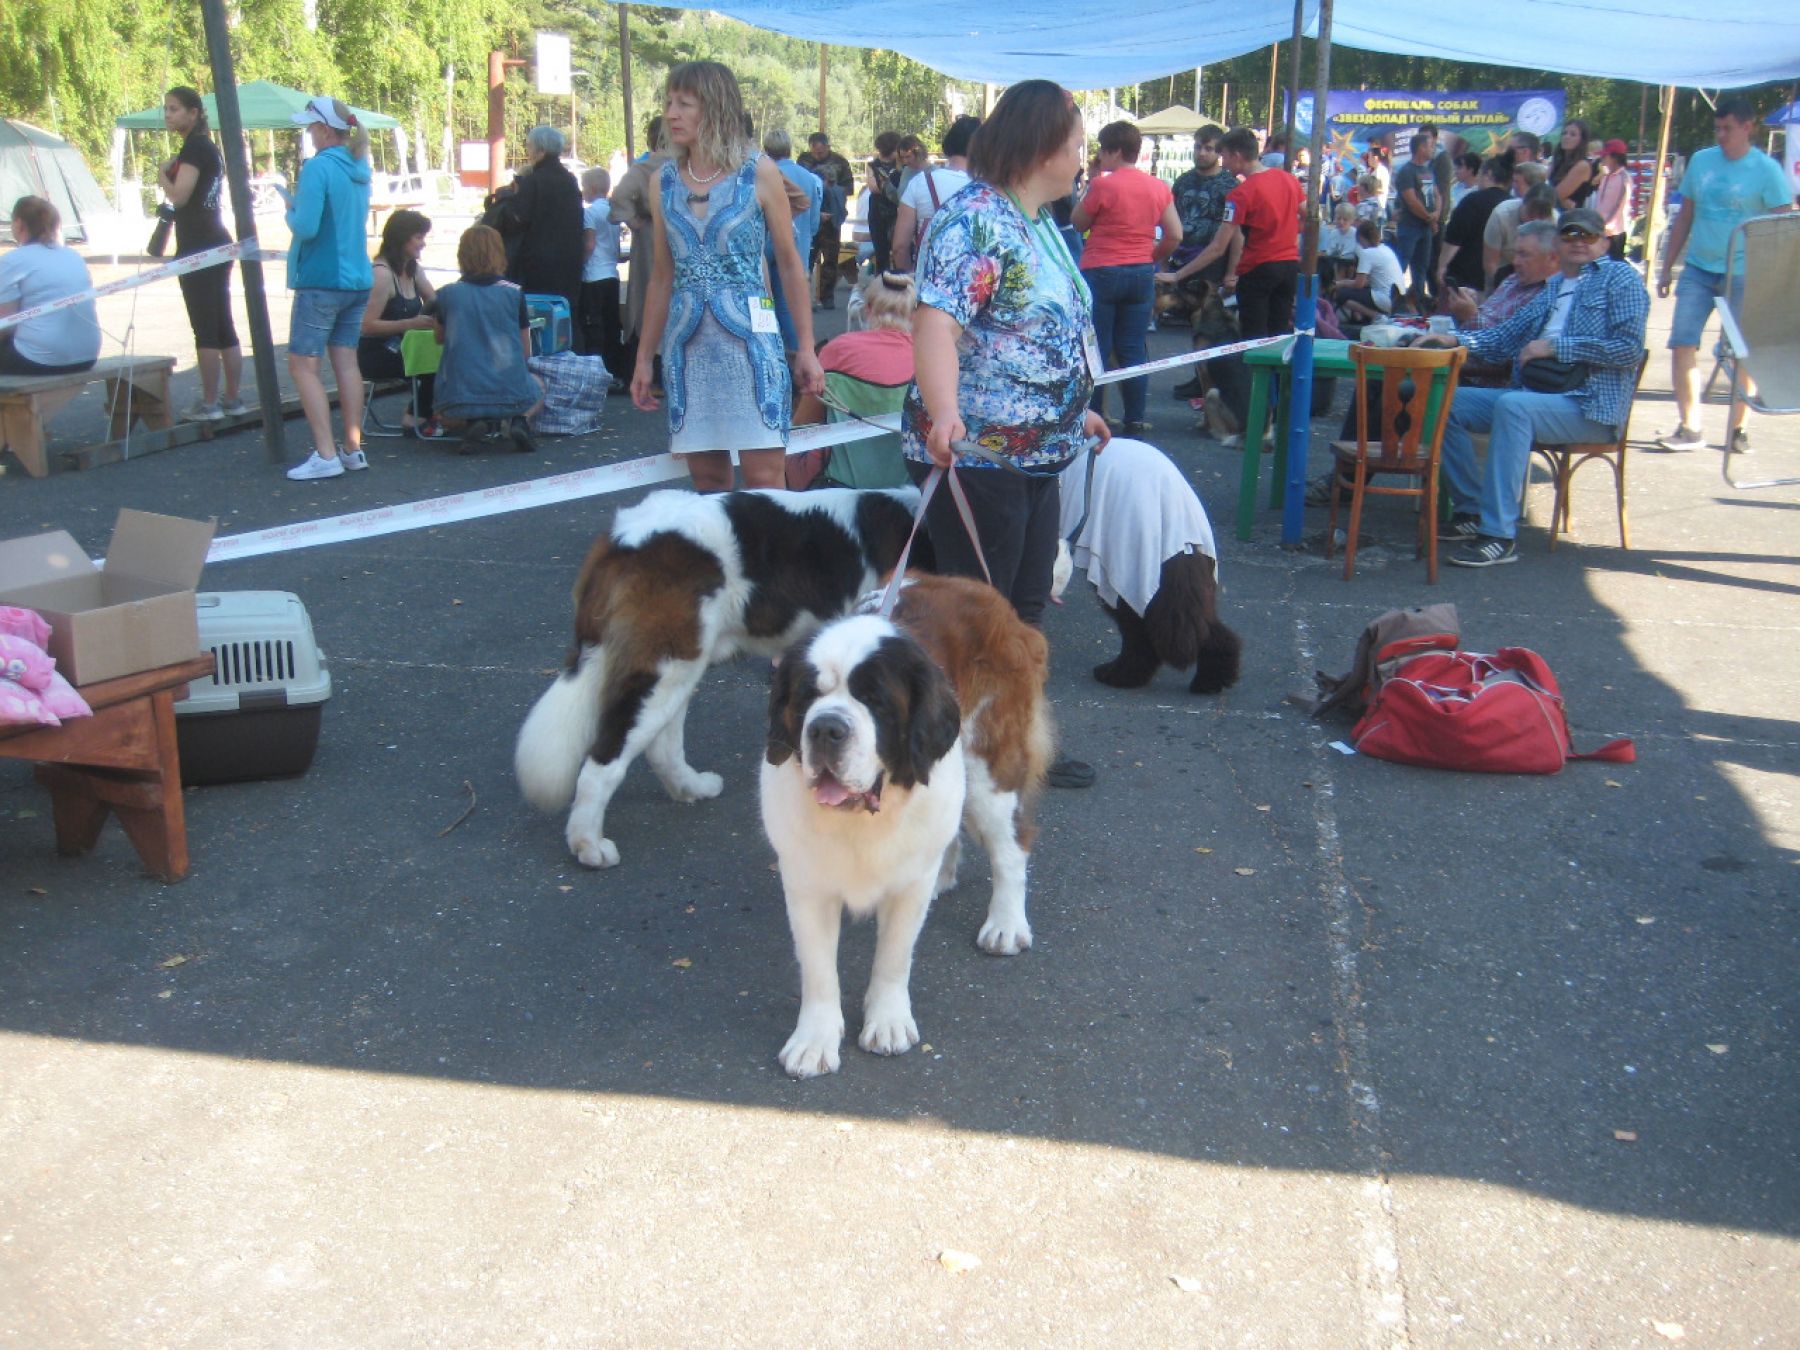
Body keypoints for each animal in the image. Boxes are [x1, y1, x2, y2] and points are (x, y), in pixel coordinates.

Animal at [759, 576, 1051, 1087]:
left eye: (874, 699)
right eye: (807, 696)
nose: (826, 728)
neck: (862, 819)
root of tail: (982, 590)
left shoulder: (905, 891)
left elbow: (894, 956)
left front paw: (888, 1023)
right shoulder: (806, 884)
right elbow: (818, 968)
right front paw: (814, 1041)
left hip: (990, 770)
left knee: (1011, 848)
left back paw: (1006, 924)